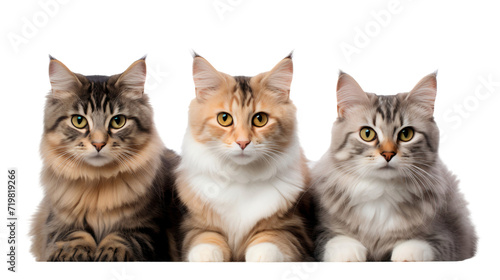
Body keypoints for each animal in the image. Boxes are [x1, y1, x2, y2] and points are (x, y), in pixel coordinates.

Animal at [30, 57, 180, 262]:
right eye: (78, 121)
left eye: (118, 121)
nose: (98, 144)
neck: (98, 181)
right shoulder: (55, 222)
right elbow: (71, 234)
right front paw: (72, 251)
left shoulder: (150, 228)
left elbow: (125, 238)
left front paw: (111, 252)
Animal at [176, 53, 312, 262]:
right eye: (224, 119)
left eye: (260, 119)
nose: (242, 142)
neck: (241, 177)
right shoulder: (194, 224)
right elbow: (206, 240)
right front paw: (207, 256)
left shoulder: (292, 227)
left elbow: (269, 242)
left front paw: (261, 257)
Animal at [312, 71, 476, 260]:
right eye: (367, 133)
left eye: (406, 134)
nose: (388, 154)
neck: (382, 192)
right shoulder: (321, 231)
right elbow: (337, 241)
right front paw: (350, 255)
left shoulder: (449, 237)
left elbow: (419, 245)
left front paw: (406, 256)